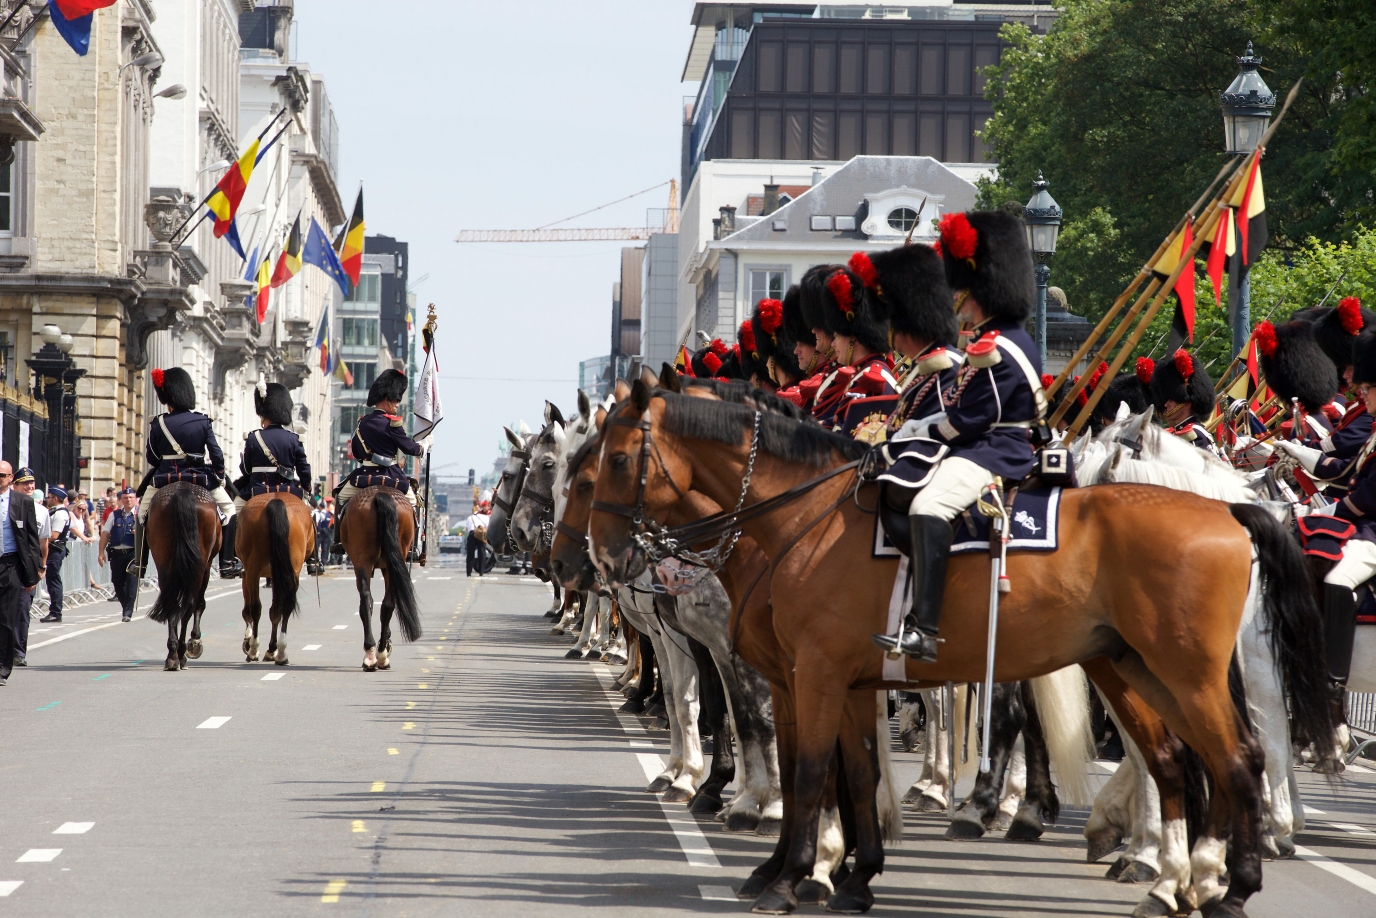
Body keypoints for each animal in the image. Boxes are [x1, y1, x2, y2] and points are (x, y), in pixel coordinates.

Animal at [146, 484, 221, 671]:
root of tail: (182, 490)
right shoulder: (207, 566)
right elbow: (200, 603)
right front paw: (195, 640)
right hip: (200, 567)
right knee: (190, 604)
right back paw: (180, 653)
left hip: (163, 561)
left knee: (173, 603)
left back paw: (172, 655)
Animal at [240, 495, 320, 668]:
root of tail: (276, 500)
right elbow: (275, 611)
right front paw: (271, 649)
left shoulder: (246, 573)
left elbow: (249, 611)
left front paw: (250, 643)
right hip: (291, 570)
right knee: (284, 607)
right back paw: (281, 653)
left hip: (253, 569)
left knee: (256, 607)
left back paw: (254, 650)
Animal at [337, 484, 418, 671]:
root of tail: (381, 493)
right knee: (383, 602)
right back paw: (378, 654)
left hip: (363, 560)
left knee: (369, 599)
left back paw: (373, 654)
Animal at [583, 379, 1331, 918]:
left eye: (614, 460)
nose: (602, 557)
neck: (802, 520)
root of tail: (1226, 508)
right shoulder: (832, 681)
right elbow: (849, 774)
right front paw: (849, 877)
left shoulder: (814, 675)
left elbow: (808, 772)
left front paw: (791, 877)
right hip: (1131, 668)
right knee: (1180, 760)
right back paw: (1177, 880)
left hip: (1188, 673)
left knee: (1237, 759)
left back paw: (1227, 887)